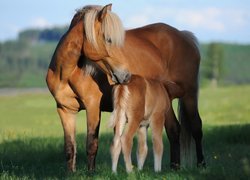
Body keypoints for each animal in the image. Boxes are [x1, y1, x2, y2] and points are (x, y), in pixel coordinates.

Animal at [71, 3, 206, 168]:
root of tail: (184, 36)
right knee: (174, 129)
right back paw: (175, 166)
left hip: (190, 94)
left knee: (196, 126)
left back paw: (201, 164)